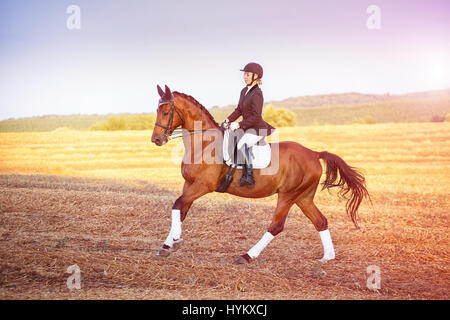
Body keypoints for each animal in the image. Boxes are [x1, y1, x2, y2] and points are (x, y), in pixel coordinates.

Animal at [151, 84, 370, 262]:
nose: (156, 140)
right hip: (303, 196)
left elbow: (177, 205)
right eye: (157, 110)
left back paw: (247, 256)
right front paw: (168, 245)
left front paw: (175, 240)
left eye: (166, 111)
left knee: (276, 226)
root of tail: (314, 154)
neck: (204, 144)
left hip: (288, 195)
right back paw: (328, 257)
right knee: (320, 221)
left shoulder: (203, 186)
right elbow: (181, 210)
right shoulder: (189, 184)